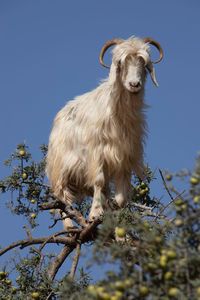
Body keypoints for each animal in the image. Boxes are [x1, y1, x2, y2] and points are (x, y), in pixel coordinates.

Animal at [46, 36, 163, 229]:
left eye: (144, 63)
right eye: (120, 63)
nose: (134, 84)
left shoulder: (125, 158)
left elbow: (121, 198)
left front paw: (119, 228)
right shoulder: (97, 153)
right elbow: (98, 182)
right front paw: (94, 214)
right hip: (60, 168)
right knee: (62, 199)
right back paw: (70, 227)